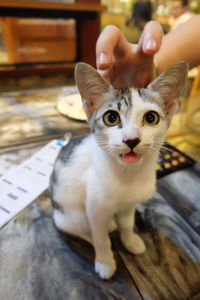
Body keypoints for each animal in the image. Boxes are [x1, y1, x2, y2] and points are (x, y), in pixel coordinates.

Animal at [49, 61, 188, 278]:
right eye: (111, 117)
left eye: (151, 117)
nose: (131, 139)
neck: (127, 175)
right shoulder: (94, 208)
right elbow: (101, 238)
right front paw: (105, 261)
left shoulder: (129, 204)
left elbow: (127, 224)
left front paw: (129, 240)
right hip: (70, 216)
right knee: (81, 230)